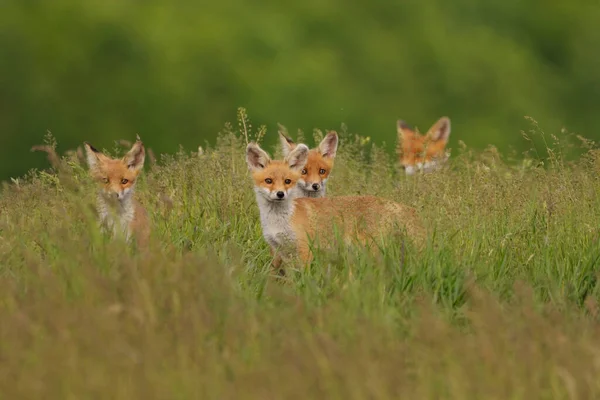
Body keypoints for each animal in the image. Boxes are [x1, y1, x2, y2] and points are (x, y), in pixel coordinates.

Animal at [246, 142, 424, 270]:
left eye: (287, 181)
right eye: (268, 180)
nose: (280, 194)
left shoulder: (304, 250)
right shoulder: (277, 250)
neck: (278, 222)